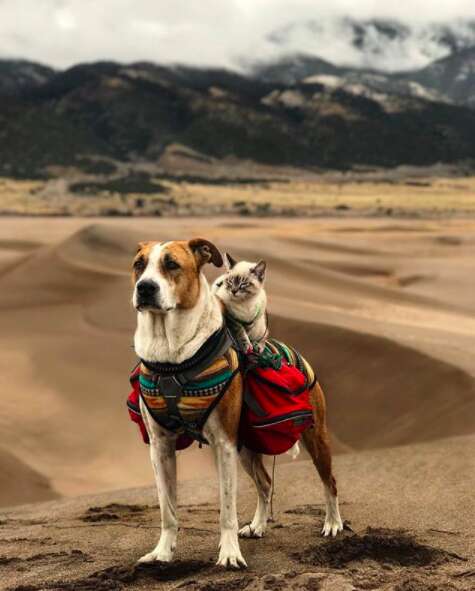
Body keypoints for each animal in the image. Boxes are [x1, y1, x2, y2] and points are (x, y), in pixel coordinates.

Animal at [132, 237, 344, 568]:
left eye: (172, 264)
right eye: (138, 264)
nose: (145, 288)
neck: (172, 358)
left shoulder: (224, 444)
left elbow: (227, 510)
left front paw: (230, 554)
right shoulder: (160, 446)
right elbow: (168, 509)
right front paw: (162, 552)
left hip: (315, 437)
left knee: (329, 482)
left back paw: (332, 523)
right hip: (246, 448)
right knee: (266, 483)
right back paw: (257, 526)